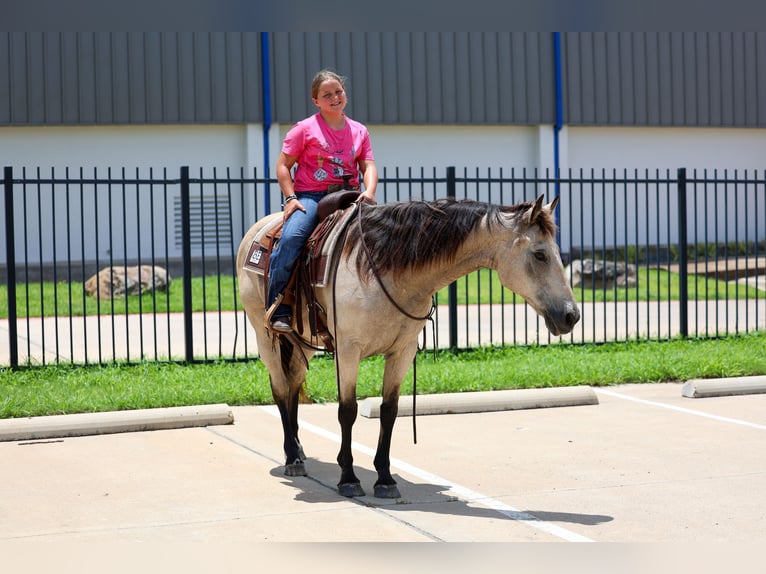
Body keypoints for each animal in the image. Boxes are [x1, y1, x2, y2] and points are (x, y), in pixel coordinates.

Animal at [236, 194, 580, 498]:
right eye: (539, 254)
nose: (572, 315)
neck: (383, 268)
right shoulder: (348, 351)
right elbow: (348, 410)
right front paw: (349, 478)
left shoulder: (402, 351)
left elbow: (389, 410)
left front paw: (385, 479)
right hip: (264, 334)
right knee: (281, 388)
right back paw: (292, 458)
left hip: (303, 339)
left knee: (293, 381)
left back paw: (298, 449)